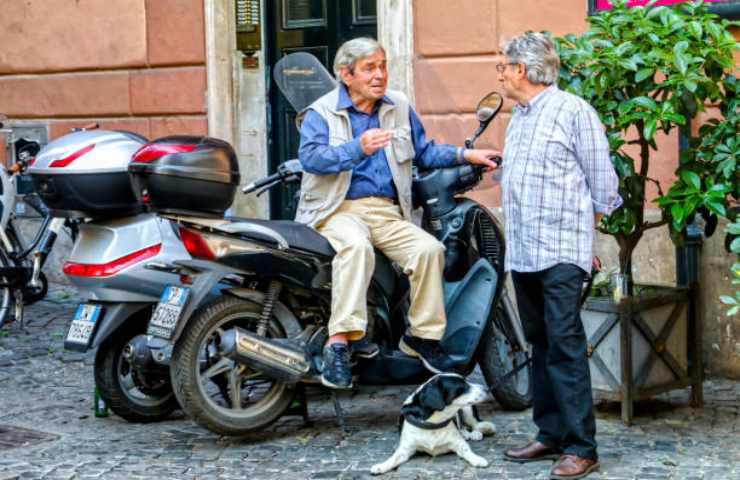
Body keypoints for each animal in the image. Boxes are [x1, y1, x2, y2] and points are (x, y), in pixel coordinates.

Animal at [370, 374, 498, 474]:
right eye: (462, 387)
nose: (488, 388)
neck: (433, 422)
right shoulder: (405, 450)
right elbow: (394, 458)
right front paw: (381, 466)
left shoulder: (458, 443)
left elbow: (467, 450)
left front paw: (477, 459)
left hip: (467, 409)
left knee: (473, 424)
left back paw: (473, 434)